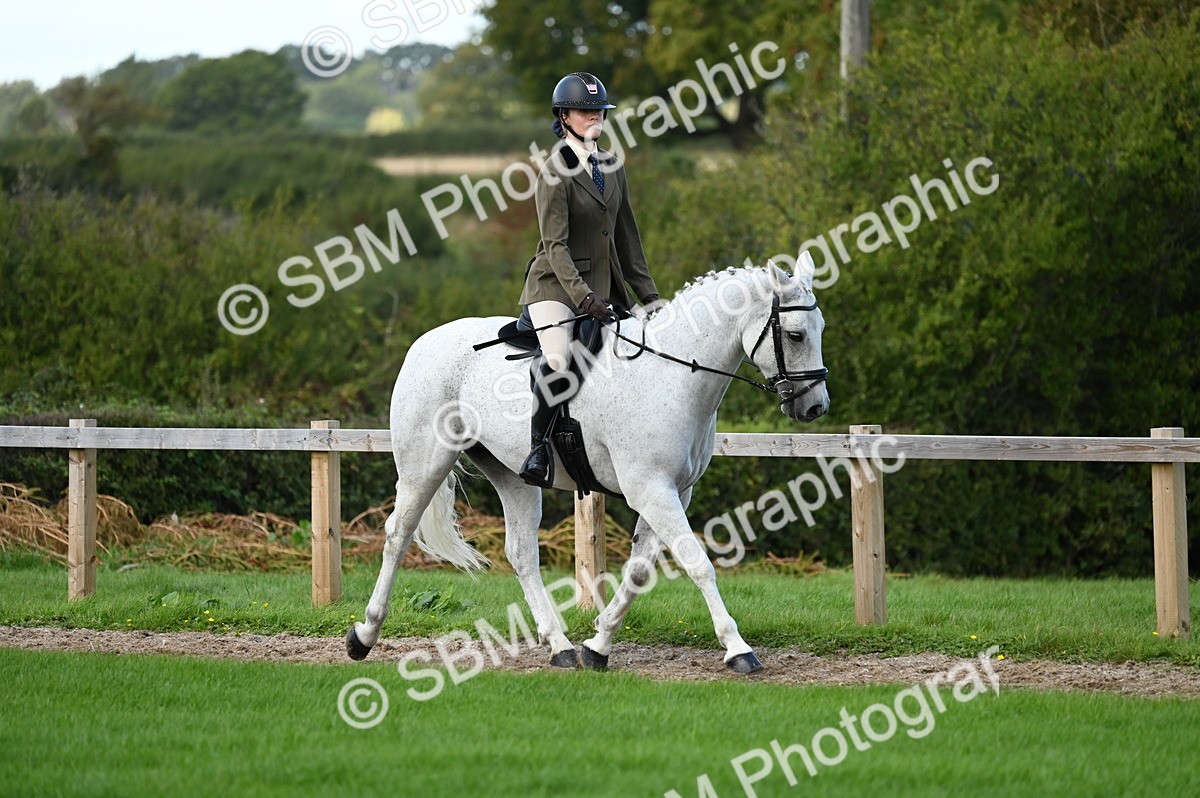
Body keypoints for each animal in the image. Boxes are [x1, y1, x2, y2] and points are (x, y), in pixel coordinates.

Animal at [346, 256, 829, 673]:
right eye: (796, 335)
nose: (815, 407)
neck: (672, 374)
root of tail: (423, 343)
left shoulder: (672, 491)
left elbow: (638, 570)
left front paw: (597, 645)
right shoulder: (652, 489)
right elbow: (697, 563)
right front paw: (738, 649)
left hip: (512, 475)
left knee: (521, 552)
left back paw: (559, 646)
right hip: (424, 463)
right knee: (398, 534)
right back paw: (364, 635)